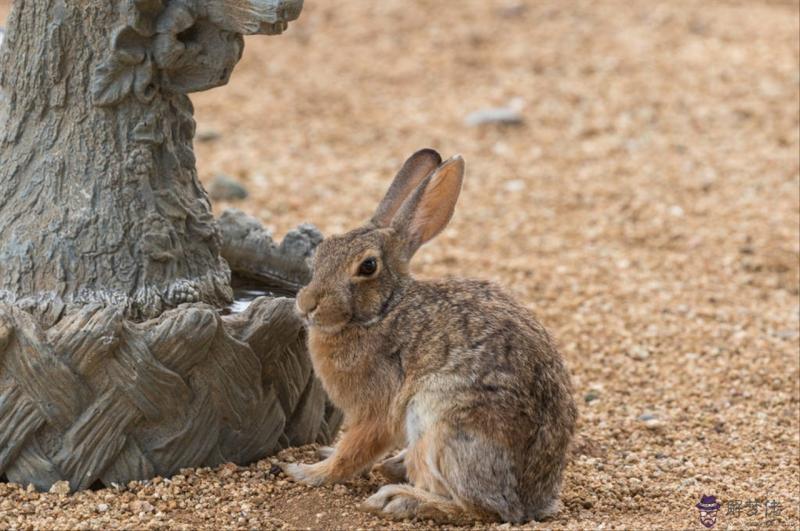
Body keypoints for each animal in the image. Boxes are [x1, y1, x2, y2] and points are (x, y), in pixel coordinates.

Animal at [282, 150, 576, 524]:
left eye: (367, 267)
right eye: (321, 252)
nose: (307, 305)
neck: (384, 310)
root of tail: (533, 502)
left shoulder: (376, 408)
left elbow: (353, 450)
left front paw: (307, 472)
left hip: (441, 429)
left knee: (482, 509)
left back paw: (399, 499)